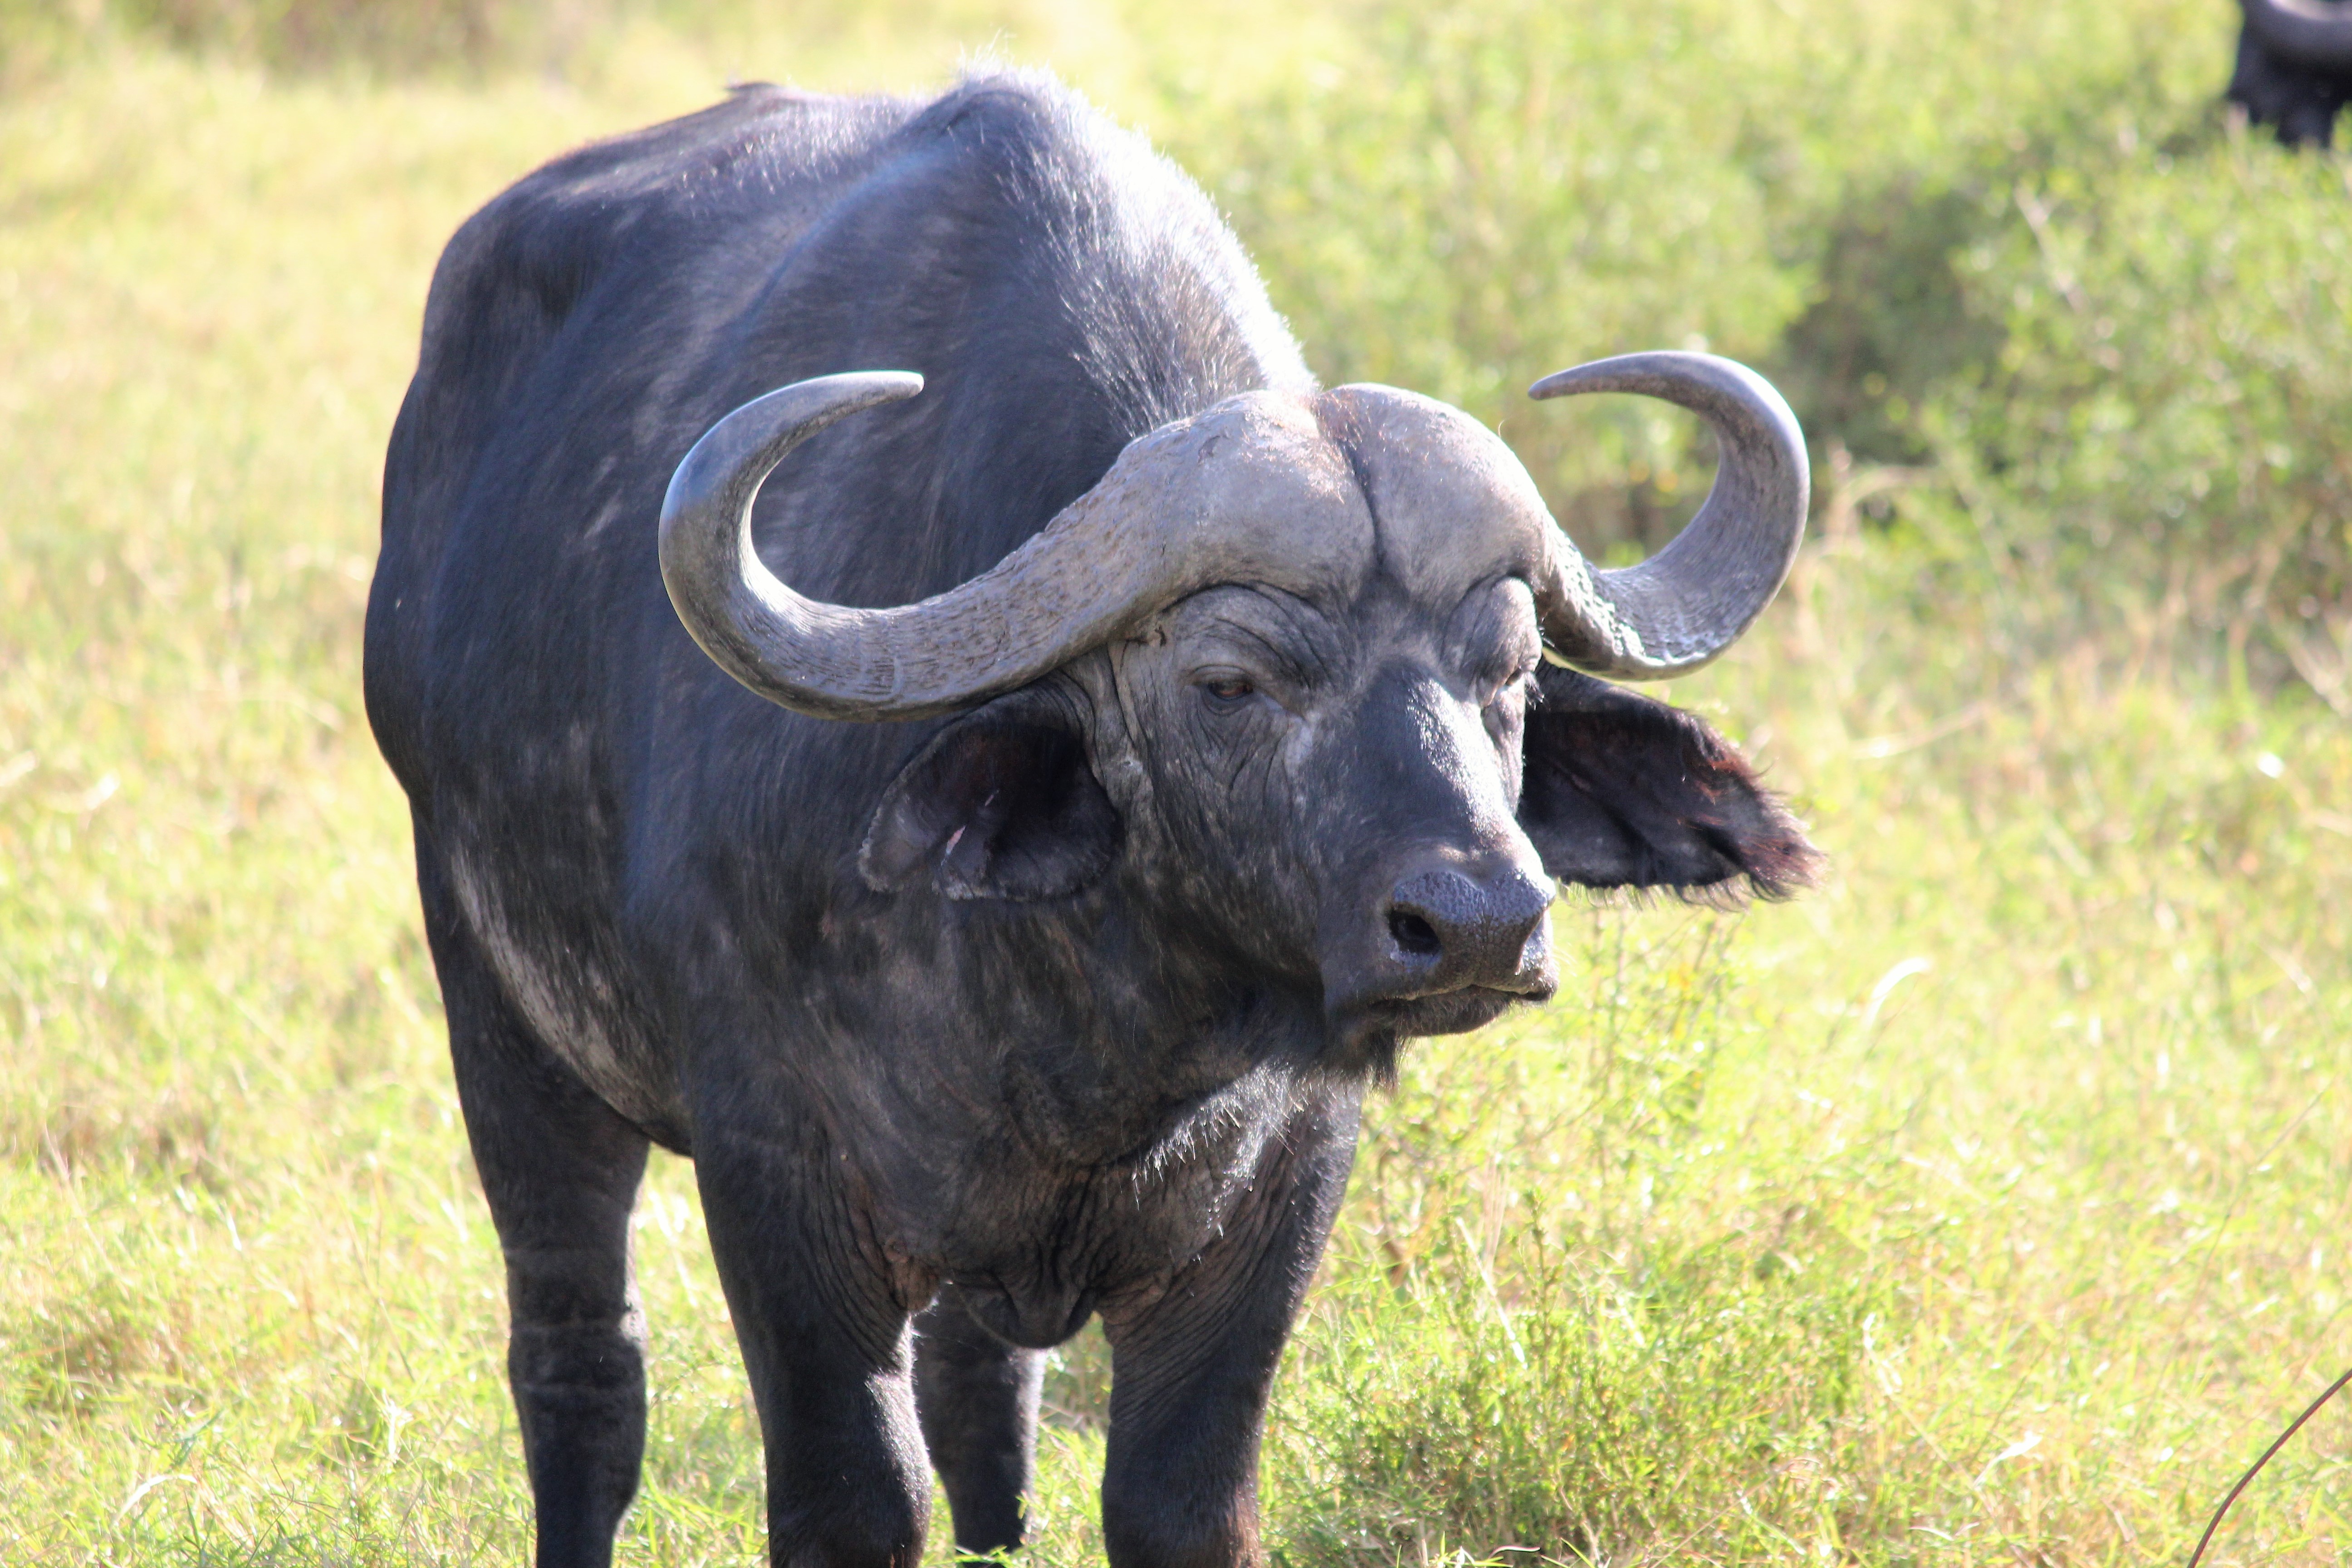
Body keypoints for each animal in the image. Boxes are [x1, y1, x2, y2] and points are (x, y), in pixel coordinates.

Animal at [365, 72, 1820, 1568]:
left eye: (1513, 672)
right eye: (1228, 681)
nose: (1477, 924)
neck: (1106, 1013)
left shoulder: (1279, 1190)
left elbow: (1178, 1496)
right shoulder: (777, 1175)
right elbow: (851, 1498)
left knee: (981, 1402)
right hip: (502, 1021)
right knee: (581, 1367)